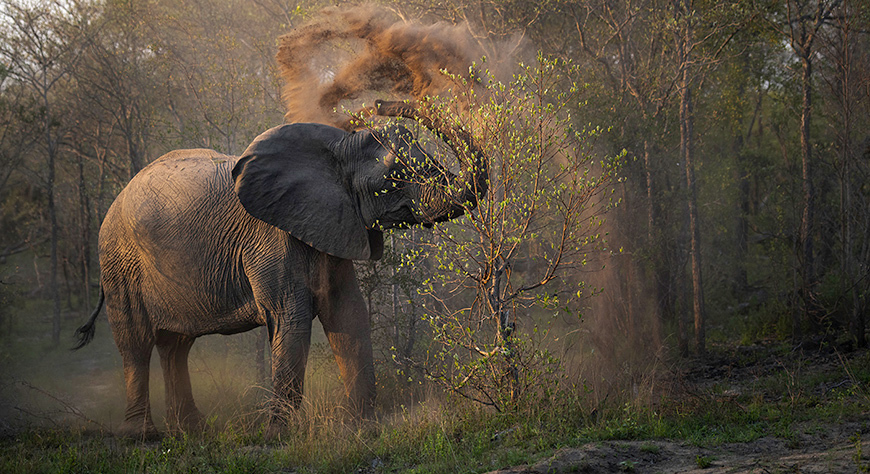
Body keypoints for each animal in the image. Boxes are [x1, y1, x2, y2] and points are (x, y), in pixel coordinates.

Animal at [74, 101, 487, 438]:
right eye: (393, 180)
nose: (379, 103)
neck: (338, 148)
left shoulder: (331, 226)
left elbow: (348, 315)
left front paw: (362, 429)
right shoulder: (273, 238)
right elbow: (292, 318)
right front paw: (277, 437)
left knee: (176, 345)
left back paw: (191, 430)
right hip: (119, 262)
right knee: (136, 342)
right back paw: (143, 436)